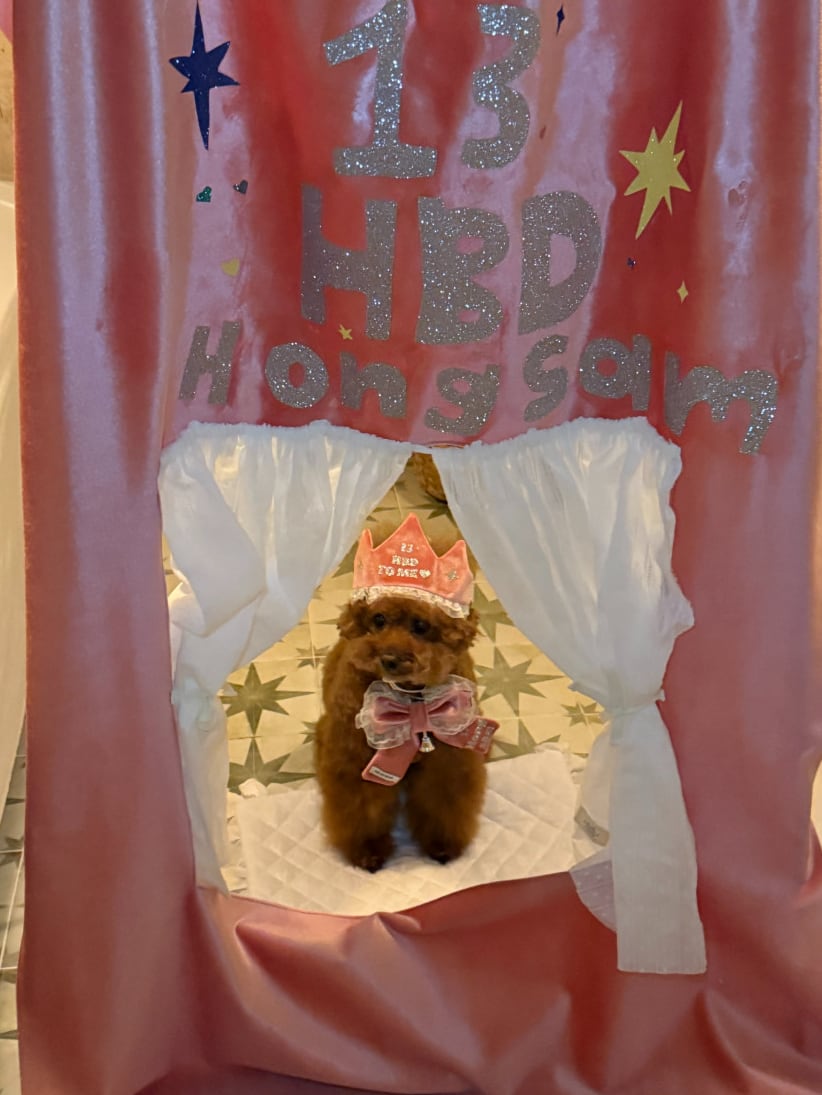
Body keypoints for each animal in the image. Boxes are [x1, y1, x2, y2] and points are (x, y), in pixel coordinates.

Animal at [315, 514, 497, 872]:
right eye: (378, 619)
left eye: (420, 626)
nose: (389, 658)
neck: (411, 700)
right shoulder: (355, 760)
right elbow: (361, 809)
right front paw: (369, 852)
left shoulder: (449, 759)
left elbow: (444, 802)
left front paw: (442, 846)